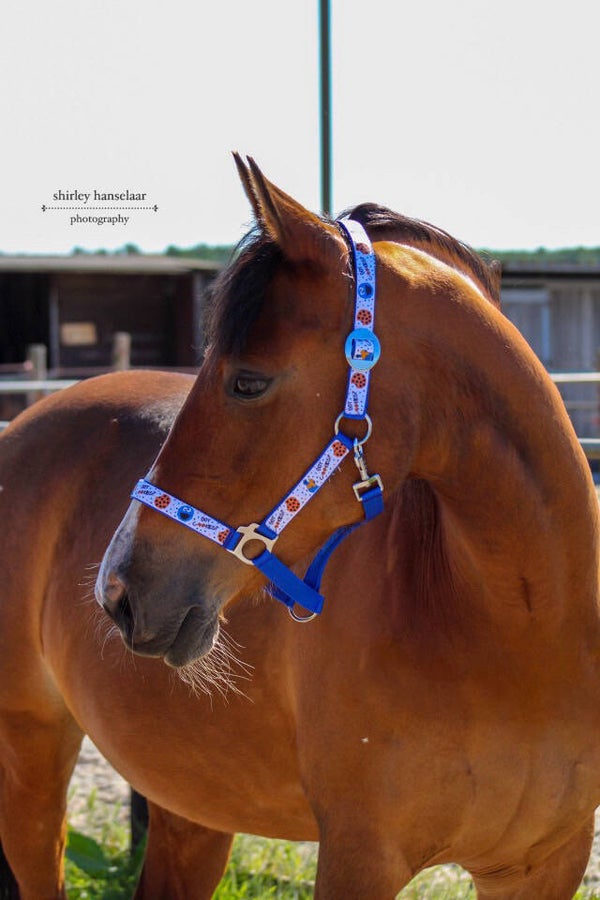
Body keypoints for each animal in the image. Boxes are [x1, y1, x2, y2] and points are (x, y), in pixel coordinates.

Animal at [1, 156, 600, 900]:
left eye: (248, 382)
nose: (118, 591)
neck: (523, 632)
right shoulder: (358, 856)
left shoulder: (546, 863)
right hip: (29, 751)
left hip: (192, 803)